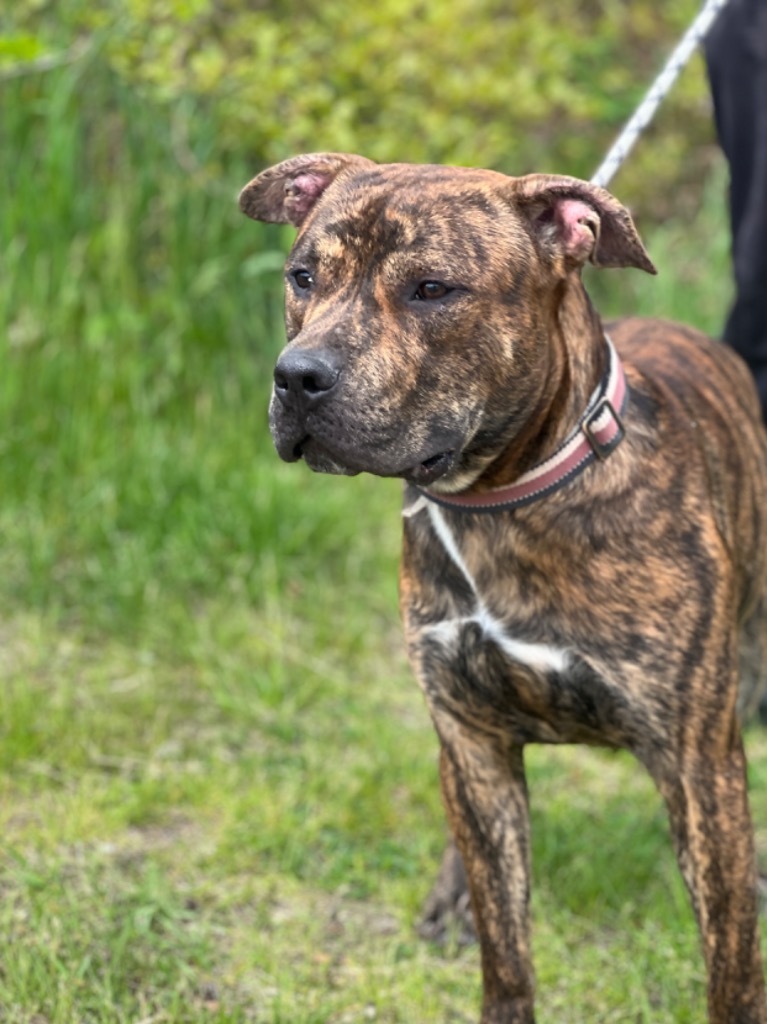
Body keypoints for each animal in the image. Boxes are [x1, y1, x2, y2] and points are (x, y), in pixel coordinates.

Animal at [239, 153, 765, 1024]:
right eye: (302, 277)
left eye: (431, 290)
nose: (296, 377)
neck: (502, 505)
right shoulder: (472, 739)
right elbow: (505, 945)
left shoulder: (697, 766)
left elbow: (730, 963)